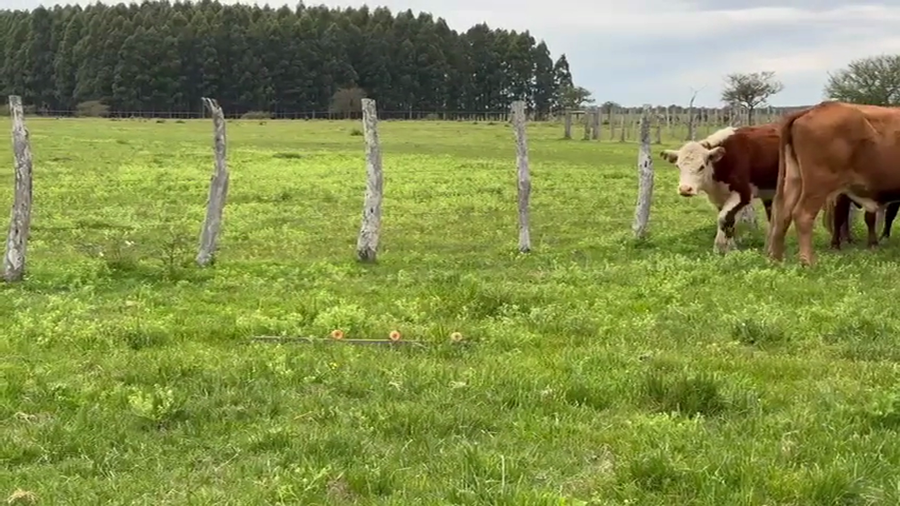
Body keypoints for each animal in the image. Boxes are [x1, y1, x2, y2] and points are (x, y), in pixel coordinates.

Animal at [659, 123, 780, 253]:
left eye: (702, 166)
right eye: (678, 166)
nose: (685, 189)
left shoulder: (743, 194)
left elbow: (723, 218)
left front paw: (721, 247)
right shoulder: (720, 197)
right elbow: (729, 220)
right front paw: (731, 247)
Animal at [766, 100, 900, 266]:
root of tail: (815, 108)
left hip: (795, 180)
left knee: (783, 215)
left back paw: (776, 259)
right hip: (817, 186)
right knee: (803, 215)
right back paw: (808, 262)